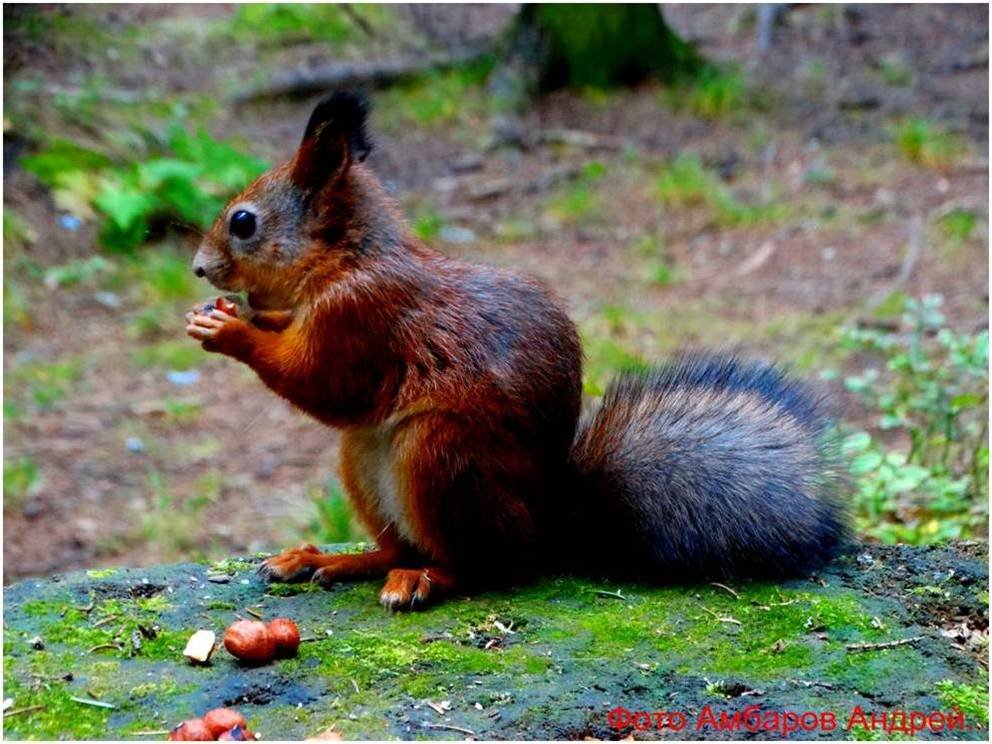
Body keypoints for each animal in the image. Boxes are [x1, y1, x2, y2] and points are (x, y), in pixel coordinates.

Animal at [184, 91, 844, 612]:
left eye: (243, 222)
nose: (197, 268)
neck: (346, 257)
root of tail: (547, 525)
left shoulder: (362, 318)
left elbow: (319, 381)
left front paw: (231, 331)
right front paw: (252, 314)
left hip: (440, 456)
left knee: (481, 566)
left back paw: (422, 578)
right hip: (364, 459)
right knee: (395, 545)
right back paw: (331, 560)